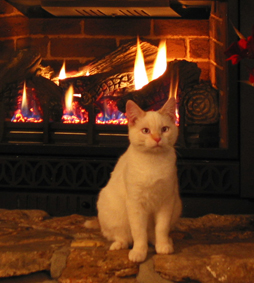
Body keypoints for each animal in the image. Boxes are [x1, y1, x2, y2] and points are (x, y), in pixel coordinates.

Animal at [86, 98, 182, 264]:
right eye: (146, 131)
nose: (157, 138)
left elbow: (161, 228)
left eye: (164, 129)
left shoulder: (166, 202)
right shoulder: (135, 204)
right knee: (122, 236)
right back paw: (119, 245)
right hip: (112, 211)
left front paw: (163, 246)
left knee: (152, 234)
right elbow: (139, 233)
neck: (153, 163)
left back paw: (165, 242)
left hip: (177, 206)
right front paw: (139, 252)